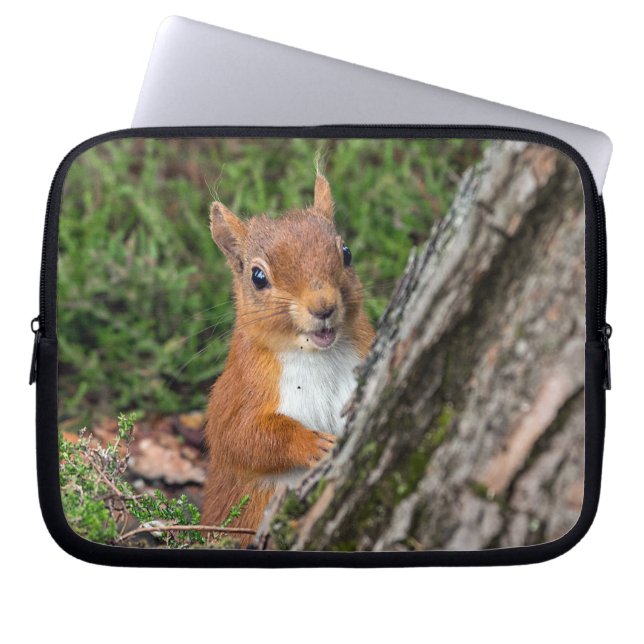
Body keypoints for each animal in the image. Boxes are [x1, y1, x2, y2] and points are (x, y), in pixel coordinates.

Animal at [202, 173, 375, 544]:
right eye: (258, 277)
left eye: (346, 253)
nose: (323, 306)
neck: (316, 356)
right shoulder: (239, 390)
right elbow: (240, 437)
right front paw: (312, 444)